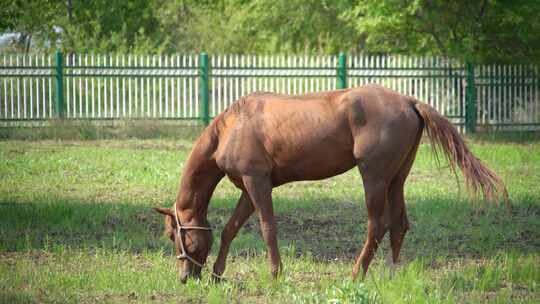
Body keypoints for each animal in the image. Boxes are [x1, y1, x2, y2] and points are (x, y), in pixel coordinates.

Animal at [154, 83, 508, 282]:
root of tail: (408, 101)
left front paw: (275, 274)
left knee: (377, 225)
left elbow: (268, 228)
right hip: (397, 179)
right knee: (399, 224)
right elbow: (231, 228)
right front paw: (218, 273)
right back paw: (390, 275)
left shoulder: (258, 183)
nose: (185, 277)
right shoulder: (248, 188)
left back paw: (356, 274)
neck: (232, 126)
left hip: (374, 178)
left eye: (174, 235)